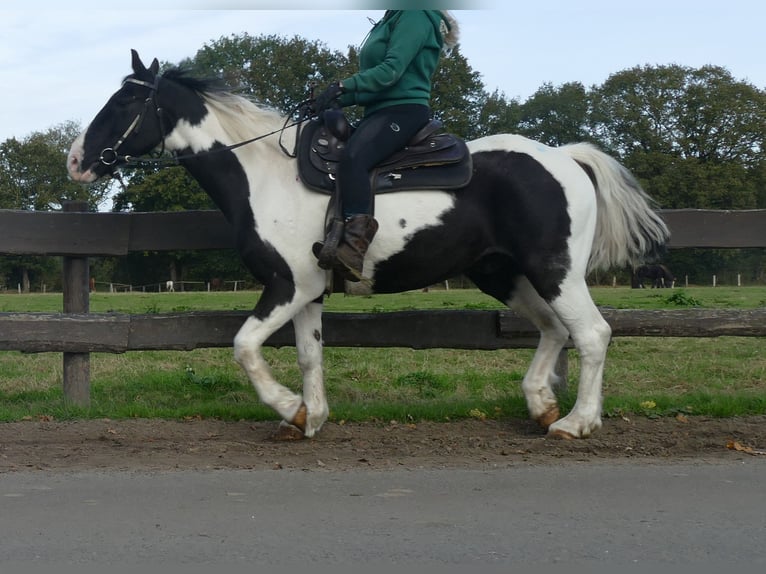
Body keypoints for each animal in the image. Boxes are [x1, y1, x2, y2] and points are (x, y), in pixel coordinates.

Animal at [66, 53, 668, 440]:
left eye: (123, 103)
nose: (75, 160)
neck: (263, 175)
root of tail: (565, 157)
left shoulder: (288, 284)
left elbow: (244, 347)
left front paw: (290, 409)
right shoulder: (309, 293)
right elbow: (308, 355)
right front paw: (311, 417)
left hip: (554, 270)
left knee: (591, 334)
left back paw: (575, 423)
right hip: (504, 275)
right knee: (554, 330)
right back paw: (542, 405)